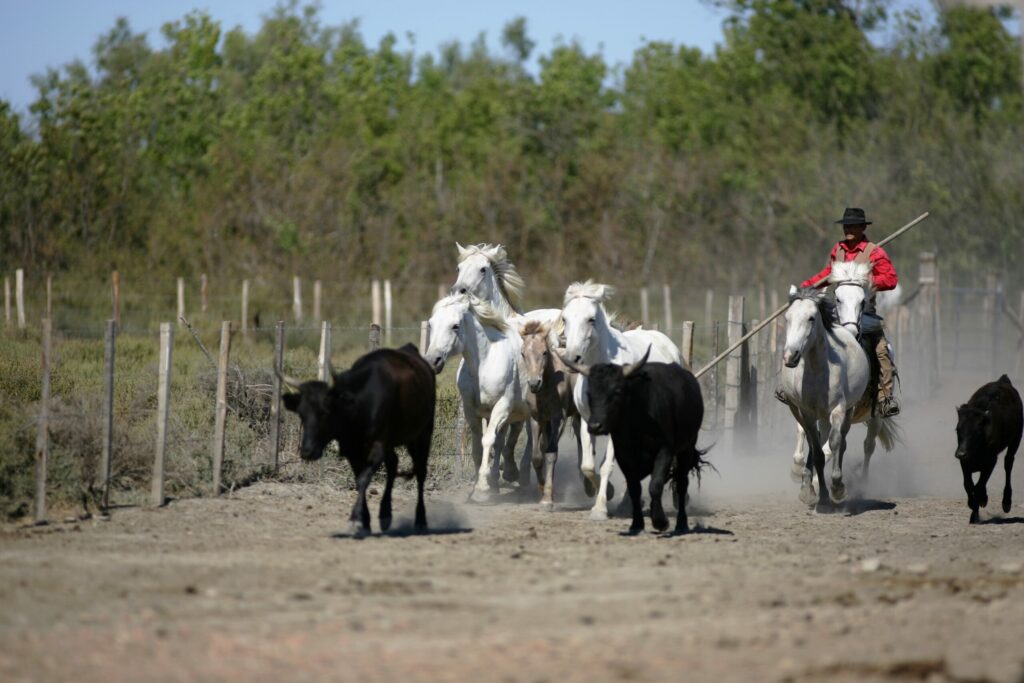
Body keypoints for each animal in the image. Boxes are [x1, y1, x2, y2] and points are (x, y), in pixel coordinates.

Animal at [425, 294, 536, 501]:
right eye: (431, 324)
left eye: (455, 326)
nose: (432, 361)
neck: (484, 364)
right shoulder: (472, 411)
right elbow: (478, 446)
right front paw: (482, 483)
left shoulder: (502, 406)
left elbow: (488, 441)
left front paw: (482, 490)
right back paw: (507, 475)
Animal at [557, 280, 684, 520]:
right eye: (565, 319)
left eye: (591, 319)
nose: (571, 358)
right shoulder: (588, 421)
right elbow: (588, 465)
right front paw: (603, 491)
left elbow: (607, 466)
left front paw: (600, 509)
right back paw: (627, 503)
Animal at [778, 284, 868, 511]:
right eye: (787, 317)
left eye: (811, 318)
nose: (790, 356)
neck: (819, 371)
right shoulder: (808, 413)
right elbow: (817, 451)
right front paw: (822, 496)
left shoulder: (838, 409)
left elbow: (835, 443)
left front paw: (837, 489)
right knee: (814, 440)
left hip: (847, 411)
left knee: (841, 442)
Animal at [954, 374, 1019, 524]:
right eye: (957, 429)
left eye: (976, 432)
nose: (960, 453)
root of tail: (1003, 380)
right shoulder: (965, 462)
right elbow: (968, 484)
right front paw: (975, 505)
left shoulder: (991, 460)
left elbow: (979, 485)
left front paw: (976, 509)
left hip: (1016, 439)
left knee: (1008, 463)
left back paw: (1006, 502)